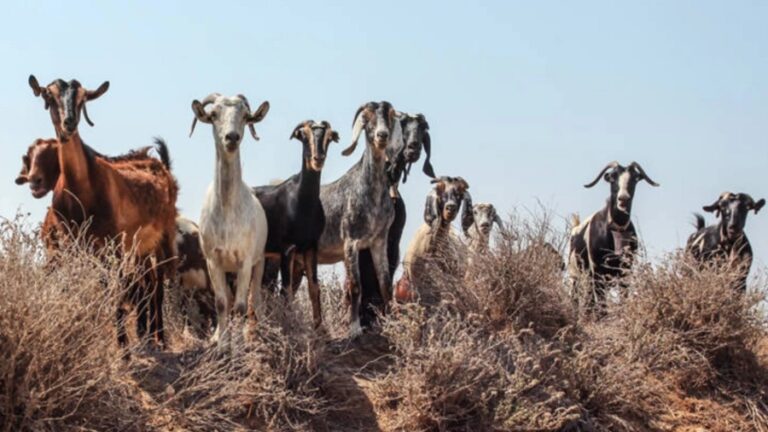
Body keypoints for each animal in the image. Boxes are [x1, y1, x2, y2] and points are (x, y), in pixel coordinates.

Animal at [28, 76, 178, 350]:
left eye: (82, 99)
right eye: (49, 96)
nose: (69, 122)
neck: (82, 188)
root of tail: (158, 163)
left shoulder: (113, 244)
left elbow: (115, 291)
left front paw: (123, 348)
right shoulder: (74, 245)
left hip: (162, 237)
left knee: (157, 285)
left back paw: (159, 339)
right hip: (139, 248)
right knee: (148, 283)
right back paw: (147, 336)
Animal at [189, 93, 270, 350]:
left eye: (244, 115)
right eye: (214, 114)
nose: (232, 137)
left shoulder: (245, 260)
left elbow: (242, 306)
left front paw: (240, 345)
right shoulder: (213, 260)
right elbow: (222, 302)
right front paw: (222, 343)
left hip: (259, 261)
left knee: (255, 298)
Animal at [252, 120, 340, 326]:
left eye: (328, 138)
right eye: (304, 136)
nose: (318, 158)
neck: (303, 200)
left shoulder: (310, 247)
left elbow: (314, 288)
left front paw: (319, 328)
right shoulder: (288, 249)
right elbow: (286, 291)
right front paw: (289, 325)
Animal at [316, 102, 402, 338]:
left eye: (389, 115)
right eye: (367, 117)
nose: (382, 135)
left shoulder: (378, 241)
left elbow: (385, 284)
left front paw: (391, 322)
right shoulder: (351, 241)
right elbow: (355, 286)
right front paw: (354, 329)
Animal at [568, 162, 656, 314]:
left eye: (634, 178)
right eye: (613, 176)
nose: (623, 198)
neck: (616, 228)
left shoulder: (626, 271)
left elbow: (623, 300)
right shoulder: (597, 271)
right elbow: (601, 304)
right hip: (575, 276)